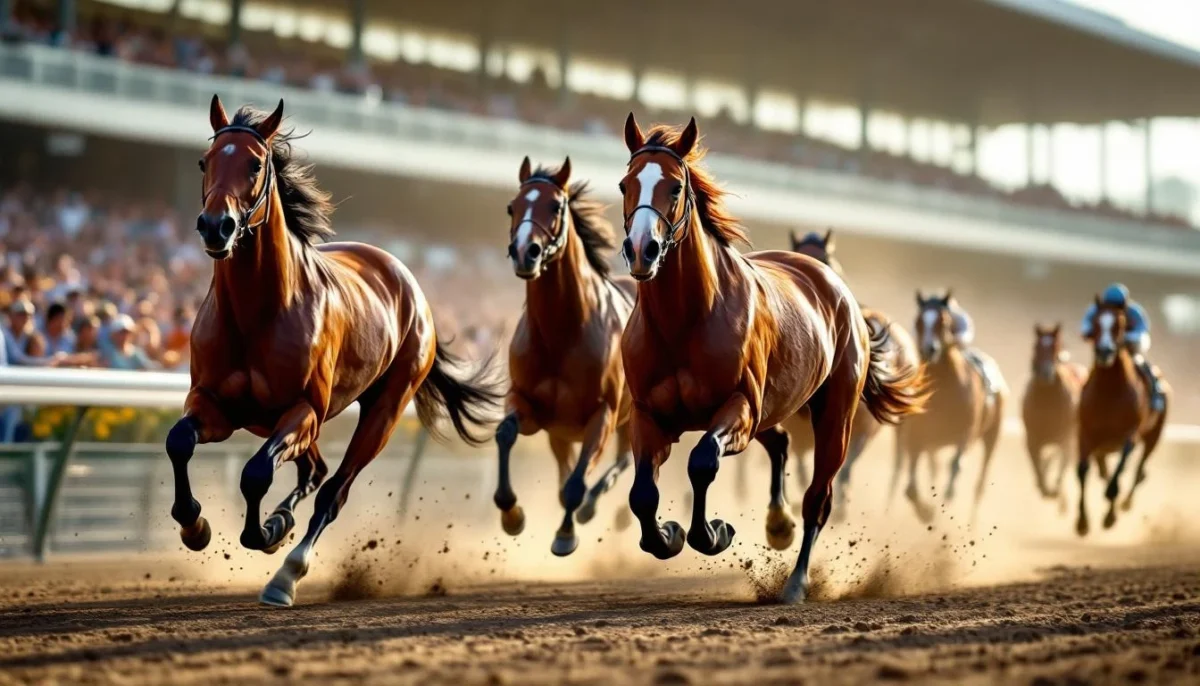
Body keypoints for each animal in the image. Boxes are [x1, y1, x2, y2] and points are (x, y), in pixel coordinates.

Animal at [166, 96, 500, 607]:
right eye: (205, 161)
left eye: (255, 164)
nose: (216, 227)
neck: (255, 314)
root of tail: (409, 281)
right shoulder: (216, 403)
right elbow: (179, 441)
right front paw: (196, 525)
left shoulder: (304, 410)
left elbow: (255, 473)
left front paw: (264, 535)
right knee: (315, 470)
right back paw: (280, 522)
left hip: (384, 409)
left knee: (333, 490)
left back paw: (286, 572)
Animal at [493, 156, 637, 556]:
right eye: (512, 206)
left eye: (556, 206)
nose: (525, 252)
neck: (563, 334)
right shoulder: (533, 408)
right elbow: (505, 434)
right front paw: (511, 514)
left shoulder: (603, 415)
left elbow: (576, 484)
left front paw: (565, 534)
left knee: (624, 459)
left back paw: (594, 509)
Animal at [903, 291, 1006, 523]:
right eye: (918, 321)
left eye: (943, 321)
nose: (930, 349)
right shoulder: (917, 436)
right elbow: (910, 489)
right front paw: (927, 513)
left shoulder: (966, 432)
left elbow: (955, 466)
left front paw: (944, 504)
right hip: (933, 444)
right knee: (934, 469)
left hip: (992, 436)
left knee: (980, 484)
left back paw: (971, 523)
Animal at [1021, 323, 1085, 506]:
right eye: (1036, 347)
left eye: (1056, 348)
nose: (1046, 374)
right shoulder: (1032, 438)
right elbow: (1037, 466)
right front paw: (1044, 488)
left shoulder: (1067, 437)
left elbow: (1063, 462)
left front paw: (1055, 491)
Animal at [1075, 298, 1168, 535]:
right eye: (1096, 323)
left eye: (1120, 324)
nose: (1104, 351)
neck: (1109, 392)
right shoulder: (1086, 433)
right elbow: (1082, 471)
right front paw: (1082, 523)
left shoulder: (1130, 435)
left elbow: (1117, 478)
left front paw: (1109, 517)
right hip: (1102, 447)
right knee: (1105, 471)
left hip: (1153, 436)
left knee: (1138, 470)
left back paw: (1124, 503)